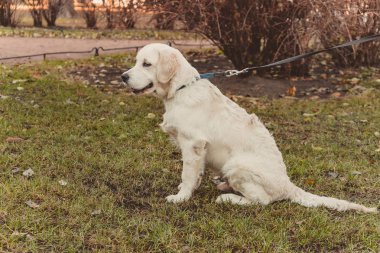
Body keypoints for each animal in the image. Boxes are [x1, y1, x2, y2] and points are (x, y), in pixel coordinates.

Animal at [121, 43, 378, 213]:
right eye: (136, 62)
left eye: (147, 64)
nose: (123, 77)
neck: (180, 89)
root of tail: (288, 185)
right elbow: (195, 174)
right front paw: (187, 189)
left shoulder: (193, 144)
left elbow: (188, 173)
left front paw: (180, 197)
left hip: (237, 165)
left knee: (261, 201)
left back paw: (229, 198)